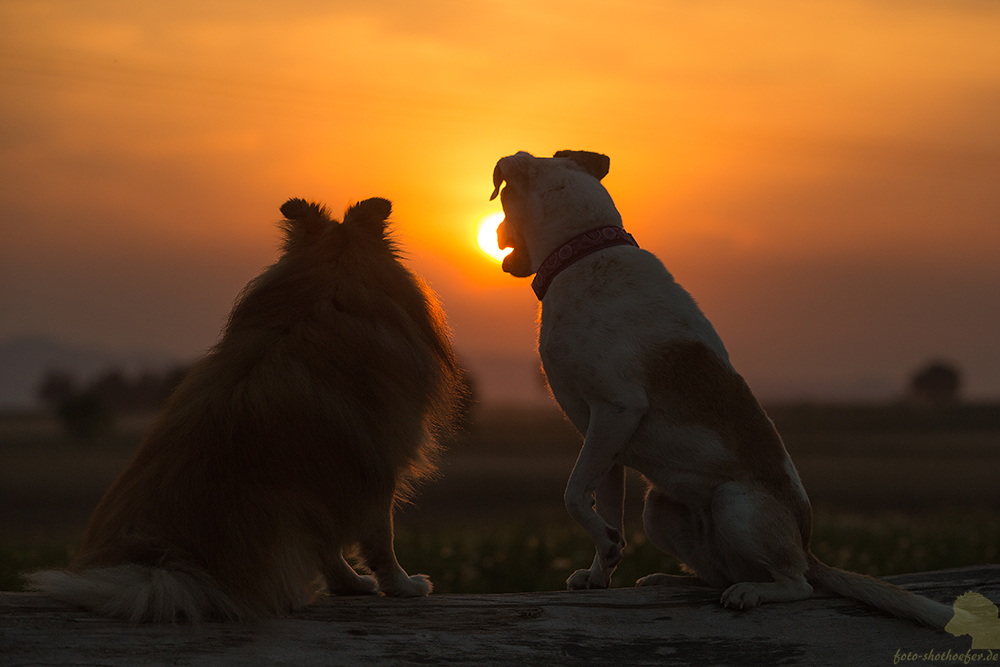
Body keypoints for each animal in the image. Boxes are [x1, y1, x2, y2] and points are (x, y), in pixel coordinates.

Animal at [28, 197, 464, 620]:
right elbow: (378, 539)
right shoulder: (376, 465)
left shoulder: (327, 488)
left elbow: (330, 547)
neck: (329, 291)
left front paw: (351, 585)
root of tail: (160, 564)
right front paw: (403, 586)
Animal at [492, 149, 960, 628]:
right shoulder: (603, 437)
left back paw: (750, 592)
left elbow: (572, 494)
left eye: (504, 200)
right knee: (717, 575)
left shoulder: (616, 409)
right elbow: (604, 509)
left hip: (735, 504)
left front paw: (604, 547)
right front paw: (599, 571)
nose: (492, 233)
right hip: (659, 509)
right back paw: (668, 580)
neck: (583, 251)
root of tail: (807, 547)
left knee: (796, 584)